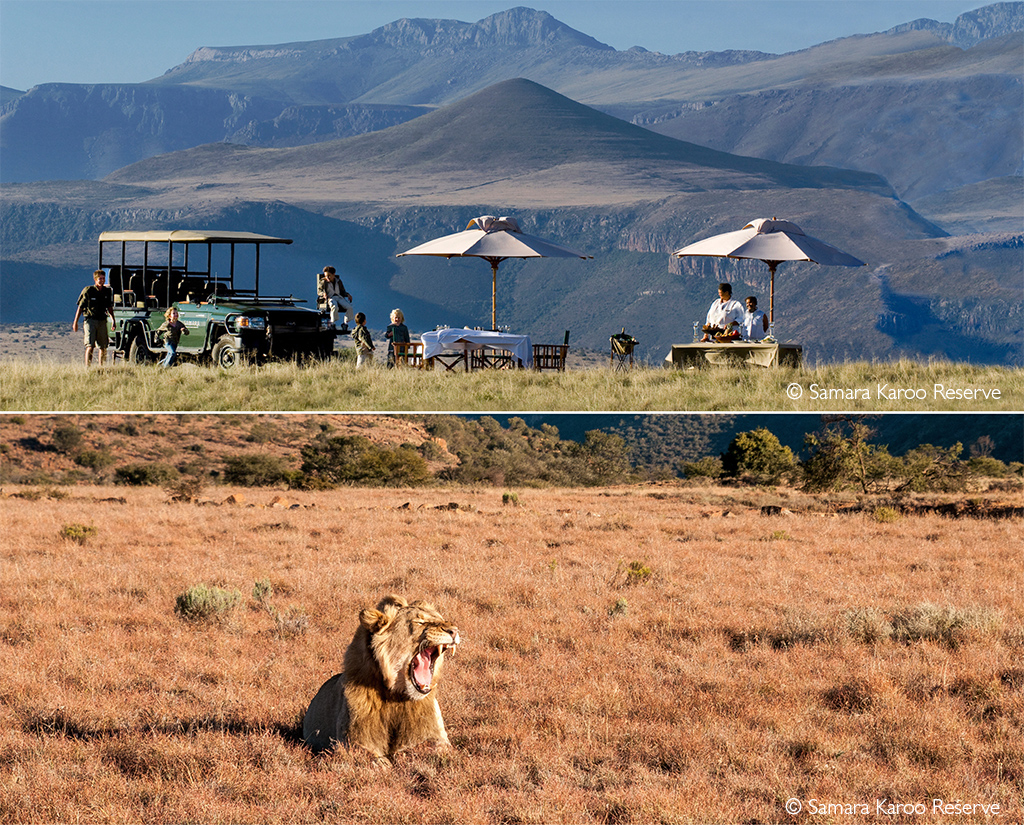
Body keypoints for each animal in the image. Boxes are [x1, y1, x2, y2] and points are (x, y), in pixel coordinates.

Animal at [301, 593, 462, 761]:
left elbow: (433, 747)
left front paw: (402, 753)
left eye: (441, 618)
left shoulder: (438, 736)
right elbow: (370, 756)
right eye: (420, 622)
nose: (454, 630)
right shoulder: (350, 741)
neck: (396, 697)